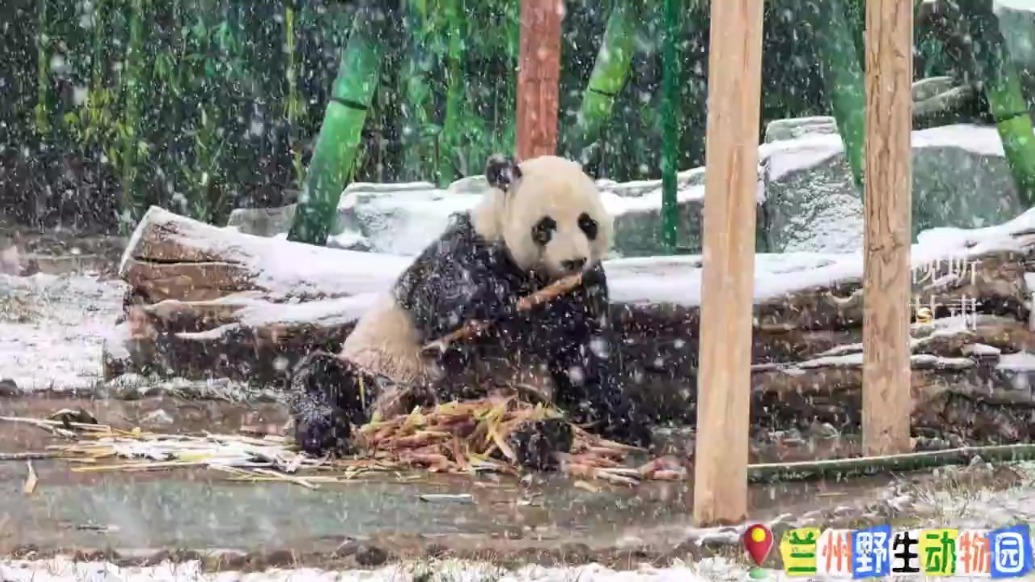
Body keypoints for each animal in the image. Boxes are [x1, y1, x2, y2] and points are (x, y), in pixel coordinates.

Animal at [287, 152, 649, 463]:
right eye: (546, 226)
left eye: (587, 223)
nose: (573, 261)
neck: (538, 280)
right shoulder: (463, 250)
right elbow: (446, 310)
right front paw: (502, 307)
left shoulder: (588, 286)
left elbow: (587, 351)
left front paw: (625, 418)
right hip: (385, 374)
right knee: (323, 375)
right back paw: (324, 427)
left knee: (526, 407)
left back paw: (536, 437)